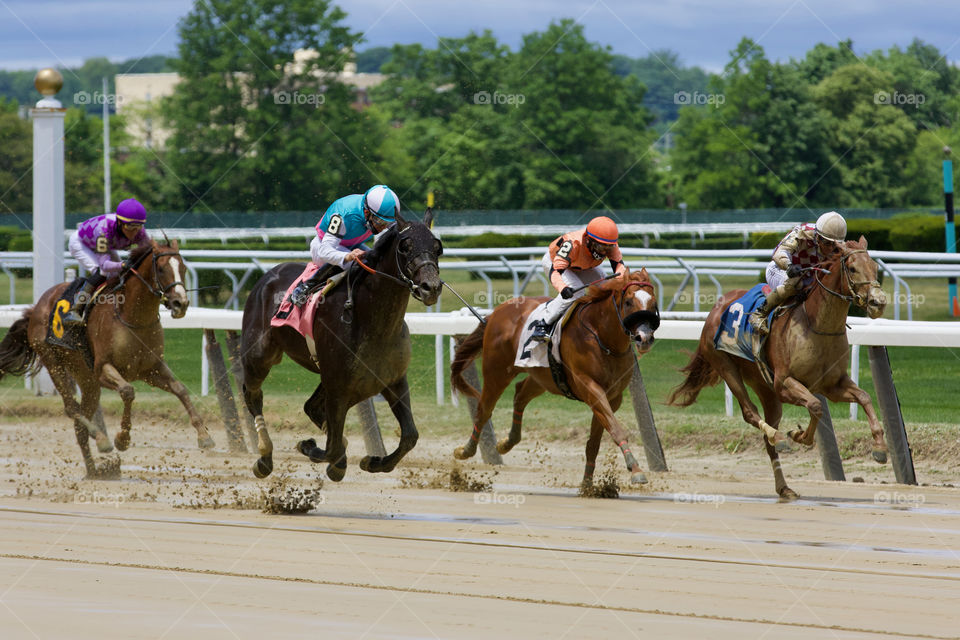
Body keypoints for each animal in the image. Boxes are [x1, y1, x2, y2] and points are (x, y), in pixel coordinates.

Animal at [0, 240, 213, 476]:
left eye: (182, 268)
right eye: (161, 268)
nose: (180, 303)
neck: (133, 317)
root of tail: (35, 308)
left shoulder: (151, 368)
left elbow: (180, 389)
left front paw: (204, 436)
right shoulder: (103, 369)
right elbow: (128, 391)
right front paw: (122, 439)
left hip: (87, 380)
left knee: (79, 424)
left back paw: (94, 469)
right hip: (53, 361)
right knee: (71, 408)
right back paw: (101, 438)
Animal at [244, 214, 446, 480]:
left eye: (437, 247)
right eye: (405, 246)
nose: (430, 287)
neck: (374, 322)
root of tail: (270, 274)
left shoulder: (392, 380)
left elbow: (410, 436)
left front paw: (373, 462)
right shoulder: (338, 386)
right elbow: (331, 448)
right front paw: (310, 447)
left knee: (312, 408)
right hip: (259, 355)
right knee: (253, 395)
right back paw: (265, 457)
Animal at [450, 268, 660, 484]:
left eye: (653, 303)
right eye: (628, 302)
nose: (644, 338)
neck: (602, 337)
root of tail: (496, 312)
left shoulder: (612, 396)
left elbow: (595, 442)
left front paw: (588, 484)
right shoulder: (591, 389)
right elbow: (615, 429)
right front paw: (636, 470)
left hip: (543, 376)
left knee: (520, 394)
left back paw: (506, 443)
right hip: (497, 372)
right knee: (484, 410)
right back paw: (465, 450)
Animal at [668, 235, 884, 500]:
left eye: (874, 267)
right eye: (852, 268)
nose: (878, 302)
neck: (816, 325)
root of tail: (716, 308)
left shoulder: (832, 384)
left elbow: (863, 397)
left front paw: (880, 447)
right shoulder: (784, 383)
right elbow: (815, 405)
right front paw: (798, 435)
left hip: (765, 388)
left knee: (767, 437)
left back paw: (784, 486)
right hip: (727, 366)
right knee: (751, 413)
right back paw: (779, 436)